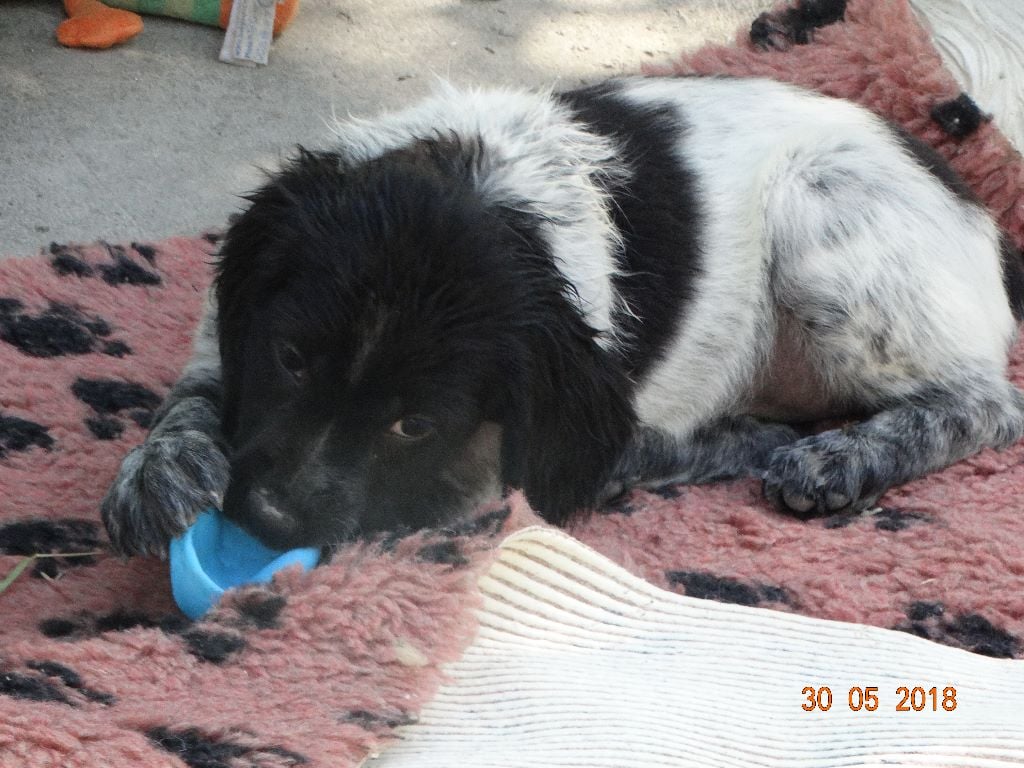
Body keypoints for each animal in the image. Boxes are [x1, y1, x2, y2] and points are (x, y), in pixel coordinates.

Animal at [101, 76, 1024, 556]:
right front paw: (158, 469)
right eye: (291, 359)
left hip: (819, 215)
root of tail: (979, 213)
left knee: (989, 403)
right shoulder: (240, 317)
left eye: (415, 424)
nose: (269, 521)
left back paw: (838, 456)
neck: (480, 182)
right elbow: (198, 389)